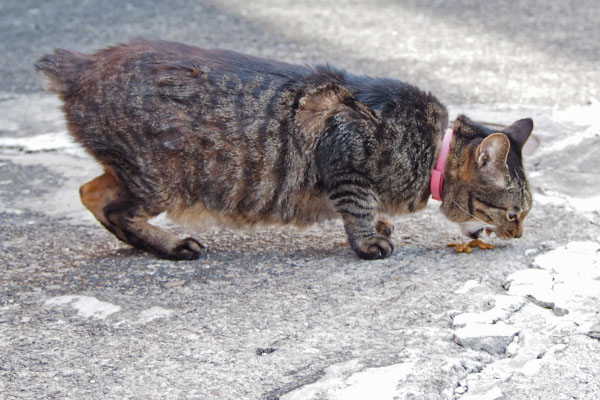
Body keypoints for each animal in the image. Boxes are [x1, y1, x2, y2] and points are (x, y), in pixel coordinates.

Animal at [35, 39, 532, 260]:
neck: (431, 150)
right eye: (514, 213)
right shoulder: (345, 156)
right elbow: (358, 206)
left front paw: (380, 225)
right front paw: (370, 241)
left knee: (91, 191)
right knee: (101, 200)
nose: (520, 235)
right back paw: (173, 245)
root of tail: (79, 63)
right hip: (162, 180)